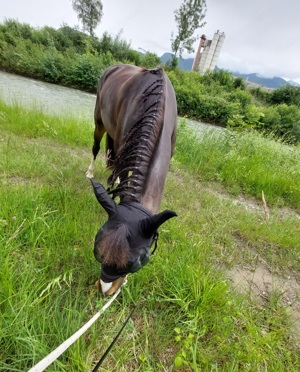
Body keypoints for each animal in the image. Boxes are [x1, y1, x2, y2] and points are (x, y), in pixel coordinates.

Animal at [85, 64, 177, 296]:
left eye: (135, 262)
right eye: (98, 251)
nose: (105, 290)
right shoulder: (123, 142)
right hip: (100, 121)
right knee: (97, 147)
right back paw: (91, 172)